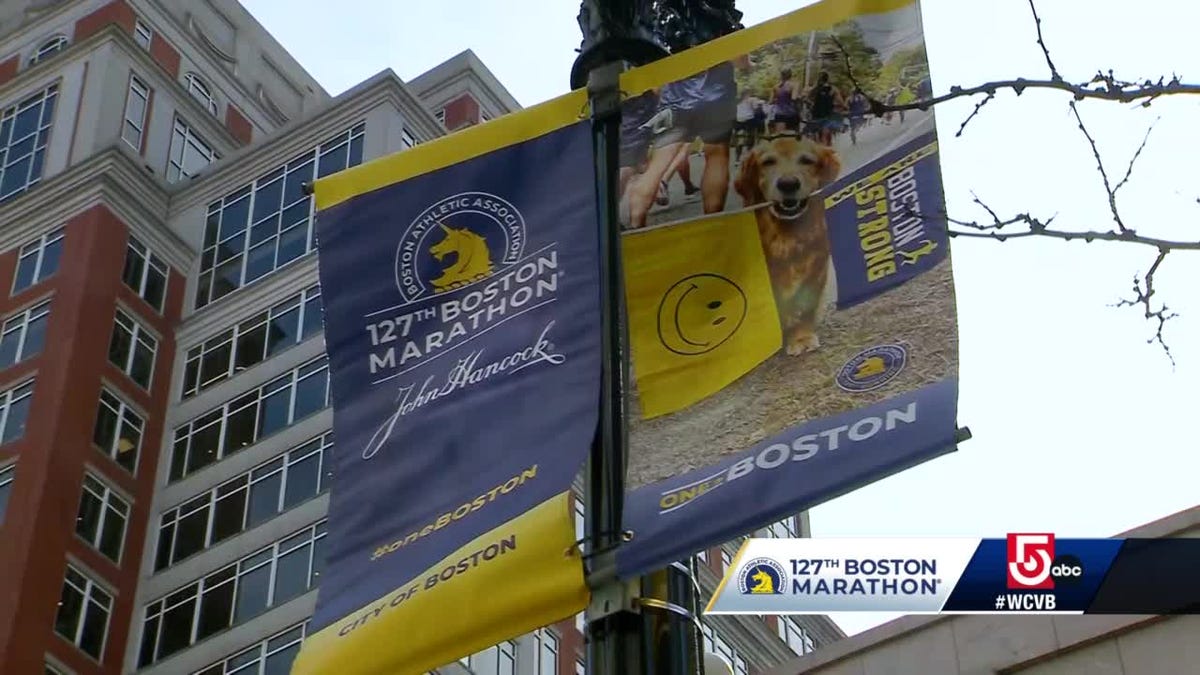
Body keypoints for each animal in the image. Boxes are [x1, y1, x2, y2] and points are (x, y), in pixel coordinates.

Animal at [729, 138, 844, 357]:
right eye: (768, 162)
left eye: (807, 160)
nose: (788, 184)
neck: (787, 235)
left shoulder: (817, 265)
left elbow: (805, 306)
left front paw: (801, 337)